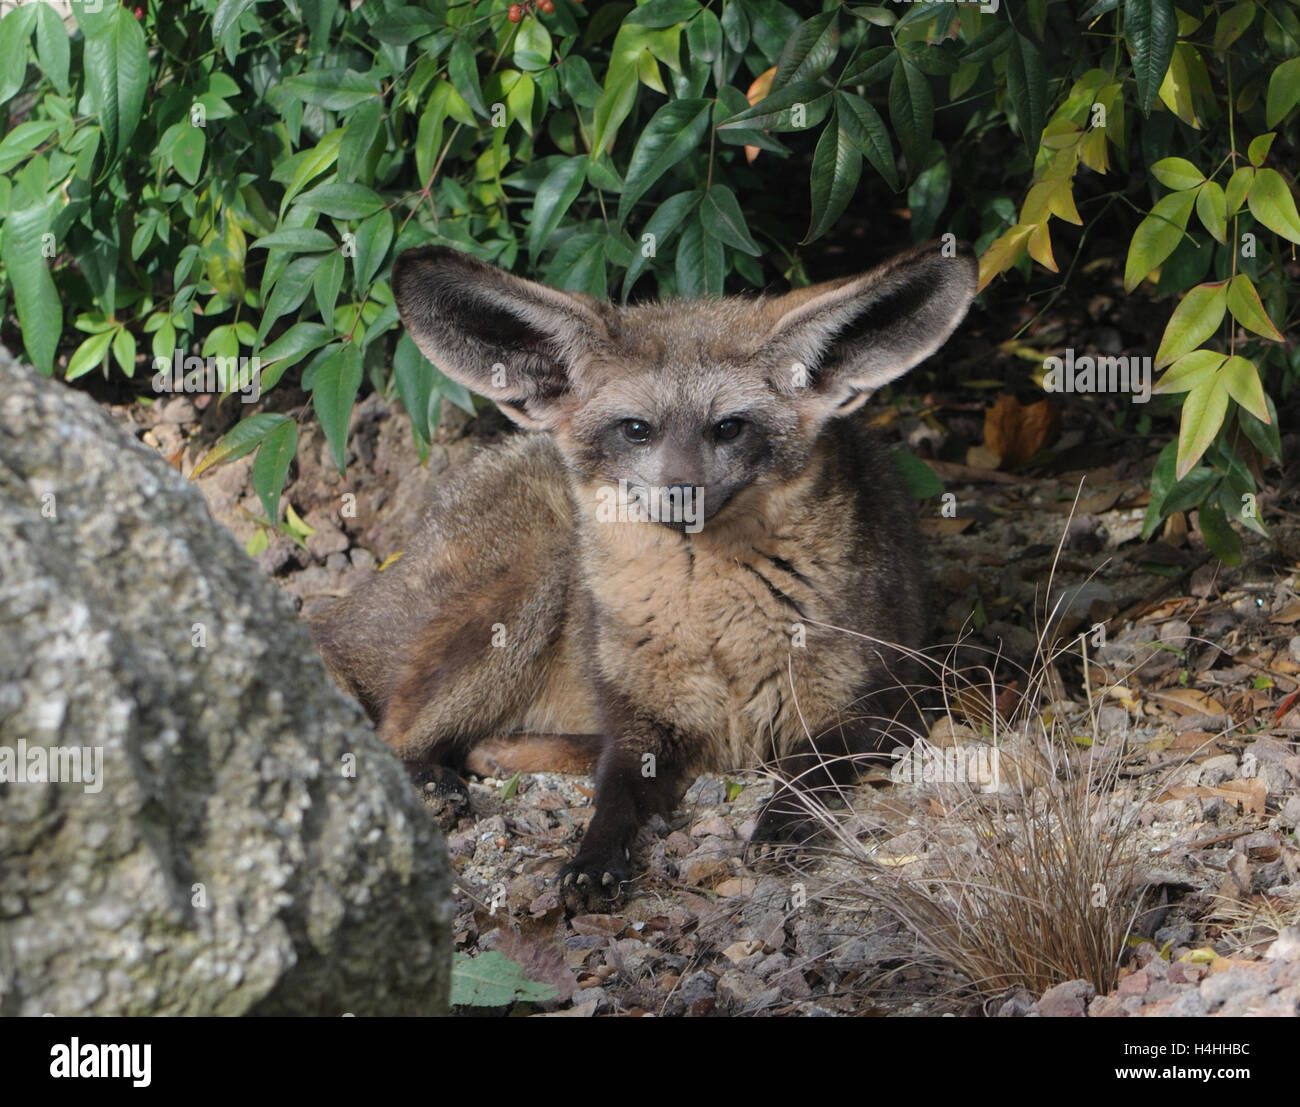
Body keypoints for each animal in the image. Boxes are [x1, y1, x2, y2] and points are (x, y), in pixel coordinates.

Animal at [310, 241, 977, 909]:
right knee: (395, 733)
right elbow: (614, 794)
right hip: (533, 588)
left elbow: (806, 775)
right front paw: (593, 859)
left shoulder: (881, 707)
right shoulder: (637, 720)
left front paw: (780, 826)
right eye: (637, 430)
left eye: (728, 427)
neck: (717, 636)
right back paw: (436, 779)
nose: (682, 495)